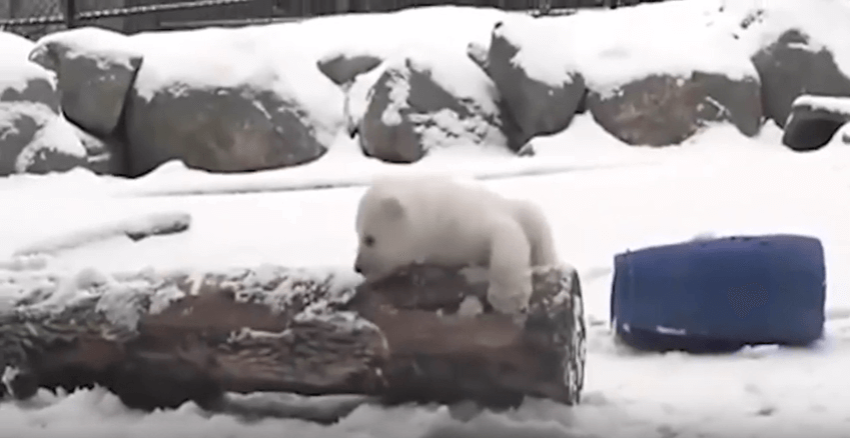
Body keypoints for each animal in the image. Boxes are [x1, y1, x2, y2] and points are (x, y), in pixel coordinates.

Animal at [353, 172, 559, 316]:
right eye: (357, 233)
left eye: (369, 239)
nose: (358, 267)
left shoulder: (464, 219)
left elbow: (504, 233)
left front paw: (508, 300)